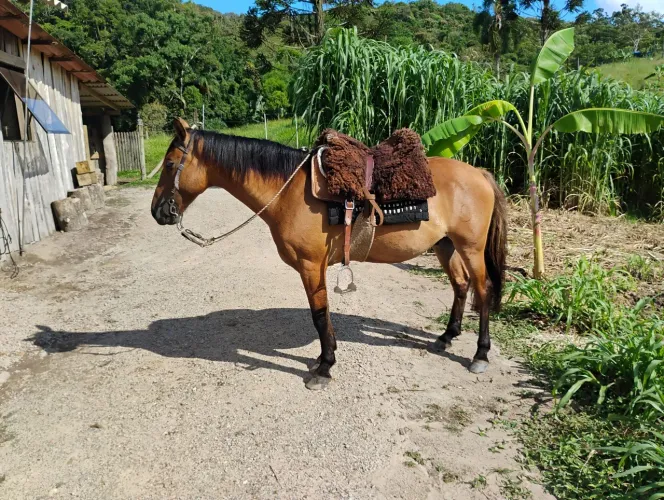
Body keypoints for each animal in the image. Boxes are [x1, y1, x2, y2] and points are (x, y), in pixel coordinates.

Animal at [151, 118, 508, 390]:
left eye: (169, 164)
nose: (158, 212)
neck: (289, 191)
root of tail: (480, 173)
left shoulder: (311, 266)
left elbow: (319, 315)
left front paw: (324, 367)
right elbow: (321, 316)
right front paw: (324, 360)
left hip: (470, 248)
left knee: (482, 291)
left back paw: (480, 355)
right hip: (446, 245)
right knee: (461, 286)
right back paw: (446, 337)